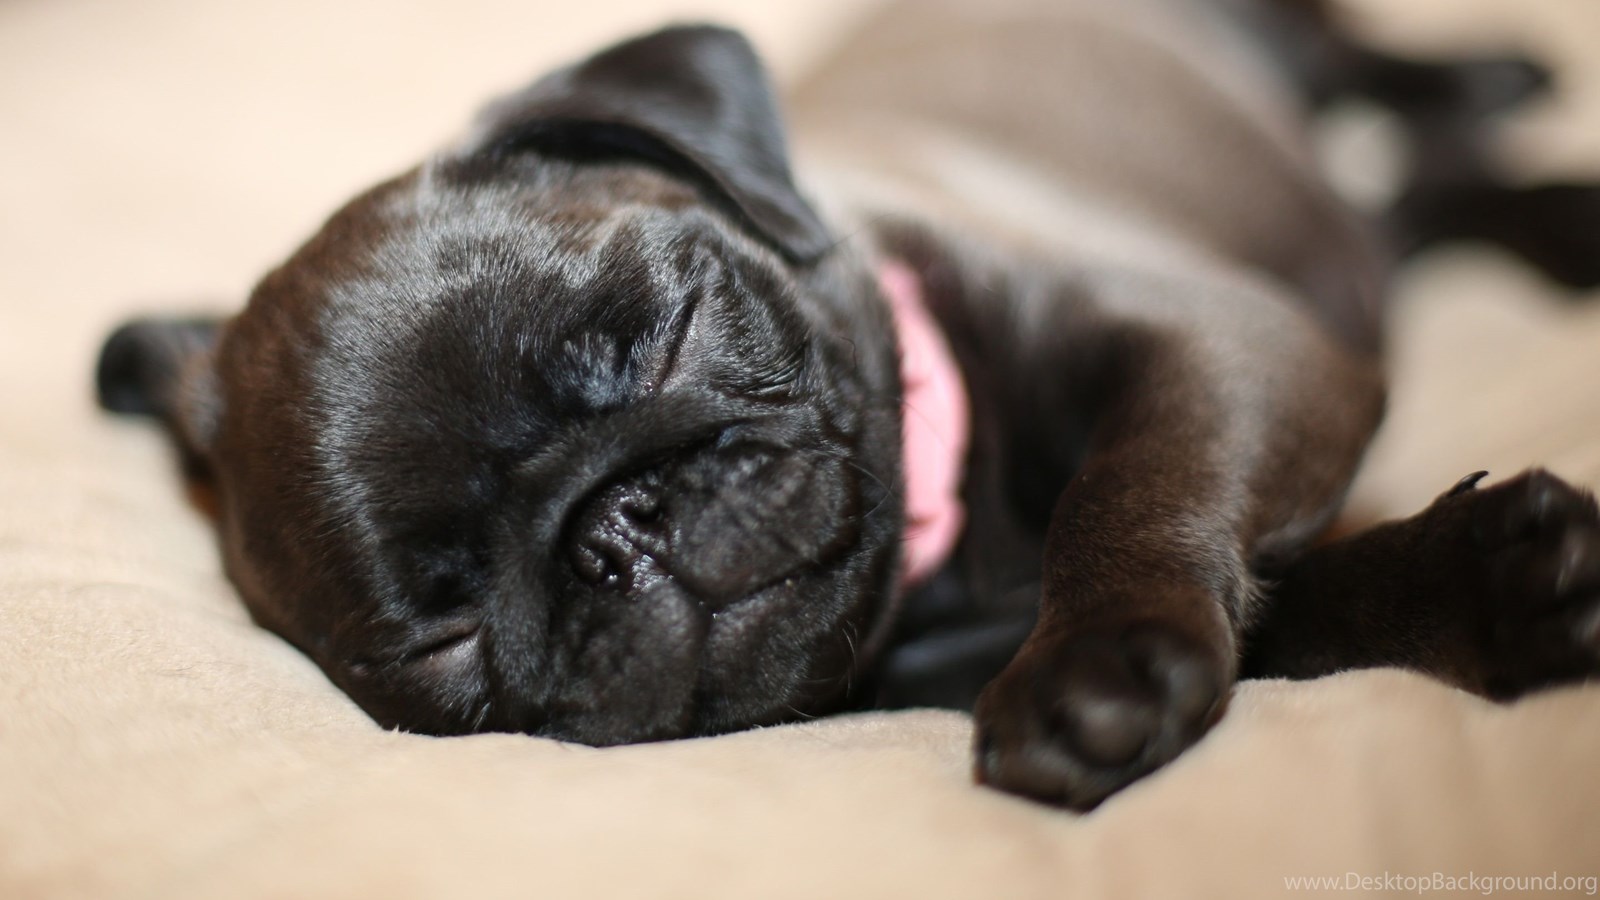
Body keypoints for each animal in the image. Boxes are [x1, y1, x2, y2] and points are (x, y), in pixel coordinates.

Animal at [95, 0, 1600, 809]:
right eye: (442, 639)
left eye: (665, 331)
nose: (617, 528)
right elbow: (1298, 610)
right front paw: (1500, 587)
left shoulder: (1221, 340)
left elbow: (1132, 489)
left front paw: (1095, 654)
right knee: (1404, 199)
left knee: (1367, 84)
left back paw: (1499, 90)